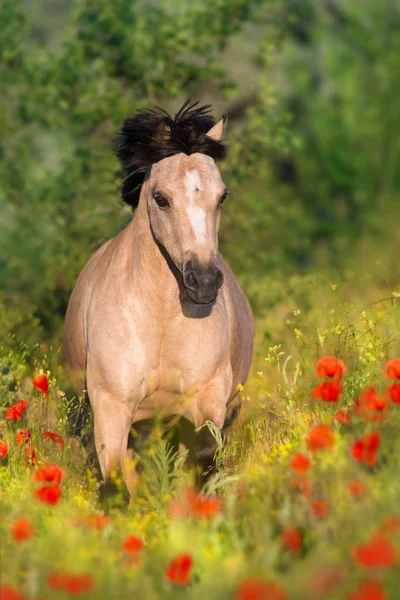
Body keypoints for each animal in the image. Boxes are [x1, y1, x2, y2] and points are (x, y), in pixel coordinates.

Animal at [62, 102, 253, 496]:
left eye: (222, 196)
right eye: (161, 199)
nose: (204, 282)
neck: (162, 317)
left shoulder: (208, 395)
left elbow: (204, 452)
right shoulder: (112, 406)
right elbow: (116, 483)